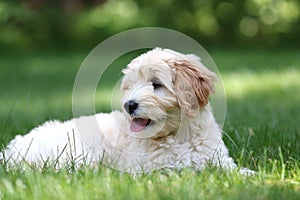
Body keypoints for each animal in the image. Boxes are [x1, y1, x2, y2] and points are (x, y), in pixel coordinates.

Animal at [1, 48, 251, 173]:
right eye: (130, 87)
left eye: (156, 84)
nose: (129, 105)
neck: (178, 137)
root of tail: (11, 150)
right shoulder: (154, 168)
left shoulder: (218, 160)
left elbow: (236, 172)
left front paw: (252, 177)